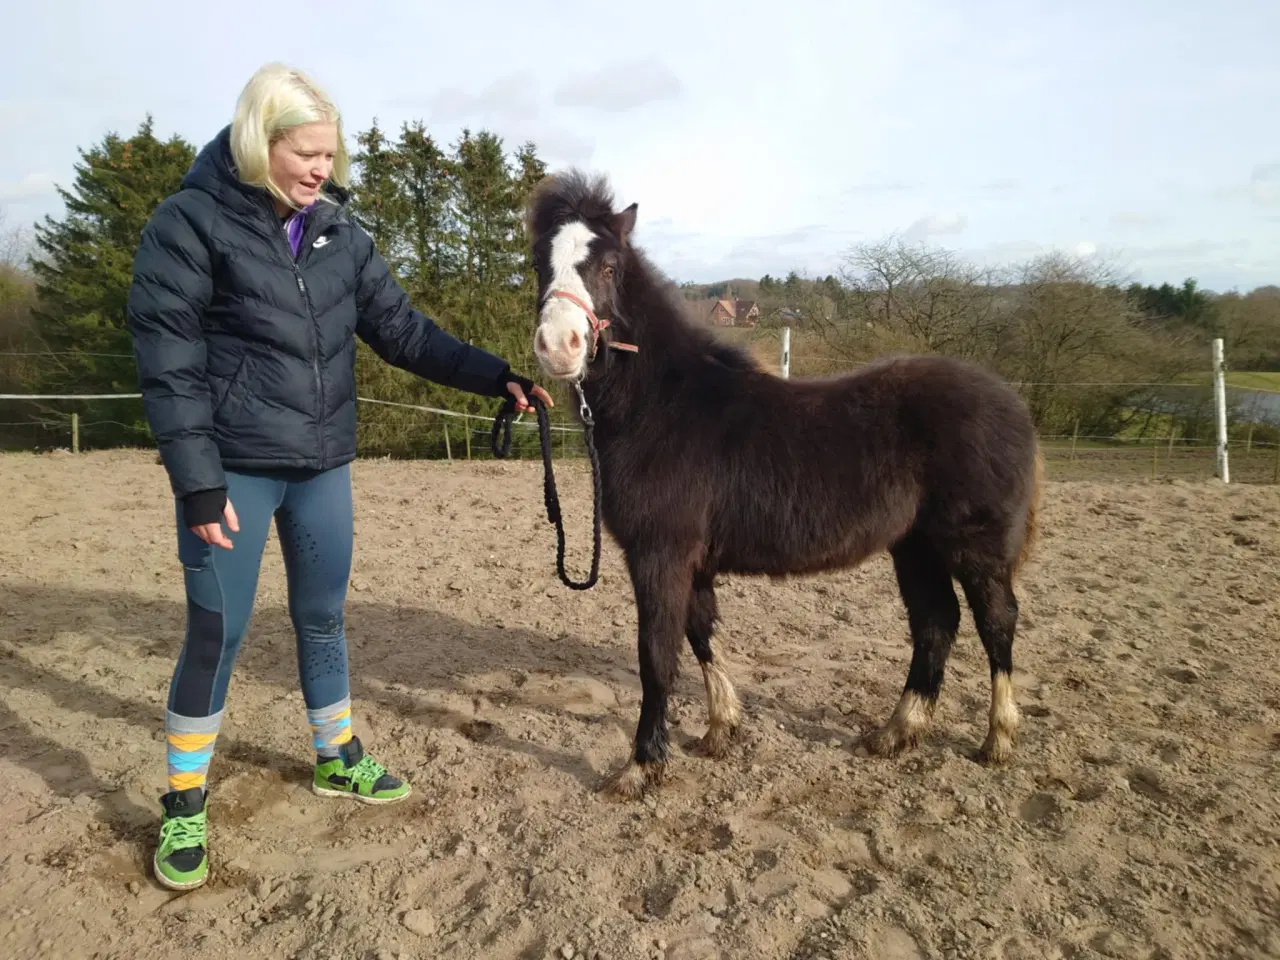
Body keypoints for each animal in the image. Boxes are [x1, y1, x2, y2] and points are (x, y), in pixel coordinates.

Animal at [524, 168, 1044, 798]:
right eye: (539, 262)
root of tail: (1014, 404)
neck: (663, 404)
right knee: (936, 623)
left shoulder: (659, 554)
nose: (559, 346)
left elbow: (657, 656)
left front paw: (642, 766)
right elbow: (700, 633)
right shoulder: (692, 561)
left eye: (607, 266)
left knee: (997, 623)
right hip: (915, 546)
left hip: (974, 548)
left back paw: (998, 739)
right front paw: (721, 729)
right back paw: (895, 733)